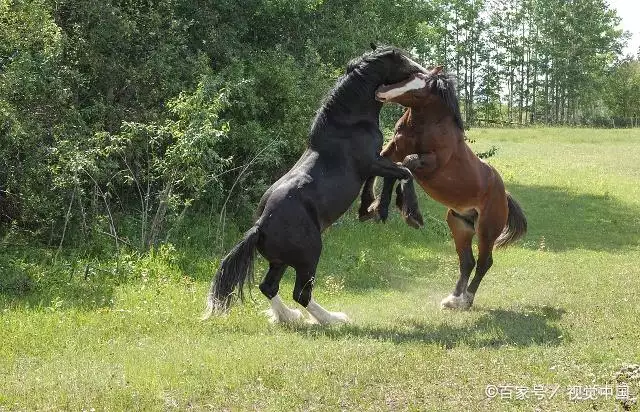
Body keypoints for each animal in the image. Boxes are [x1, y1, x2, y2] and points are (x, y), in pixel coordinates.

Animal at [202, 46, 428, 326]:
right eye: (400, 57)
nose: (424, 71)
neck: (348, 123)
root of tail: (259, 226)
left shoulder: (374, 165)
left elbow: (383, 180)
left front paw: (372, 209)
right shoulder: (373, 163)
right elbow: (403, 171)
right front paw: (405, 213)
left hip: (280, 261)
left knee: (269, 287)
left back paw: (288, 317)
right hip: (309, 256)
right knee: (301, 293)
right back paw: (333, 319)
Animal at [358, 67, 528, 308]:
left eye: (419, 87)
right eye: (408, 76)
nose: (380, 90)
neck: (425, 126)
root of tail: (504, 195)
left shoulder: (432, 163)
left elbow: (407, 165)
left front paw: (409, 213)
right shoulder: (393, 150)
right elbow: (386, 168)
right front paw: (373, 208)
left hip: (486, 230)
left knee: (484, 262)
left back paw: (466, 300)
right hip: (459, 225)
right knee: (467, 262)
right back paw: (453, 299)